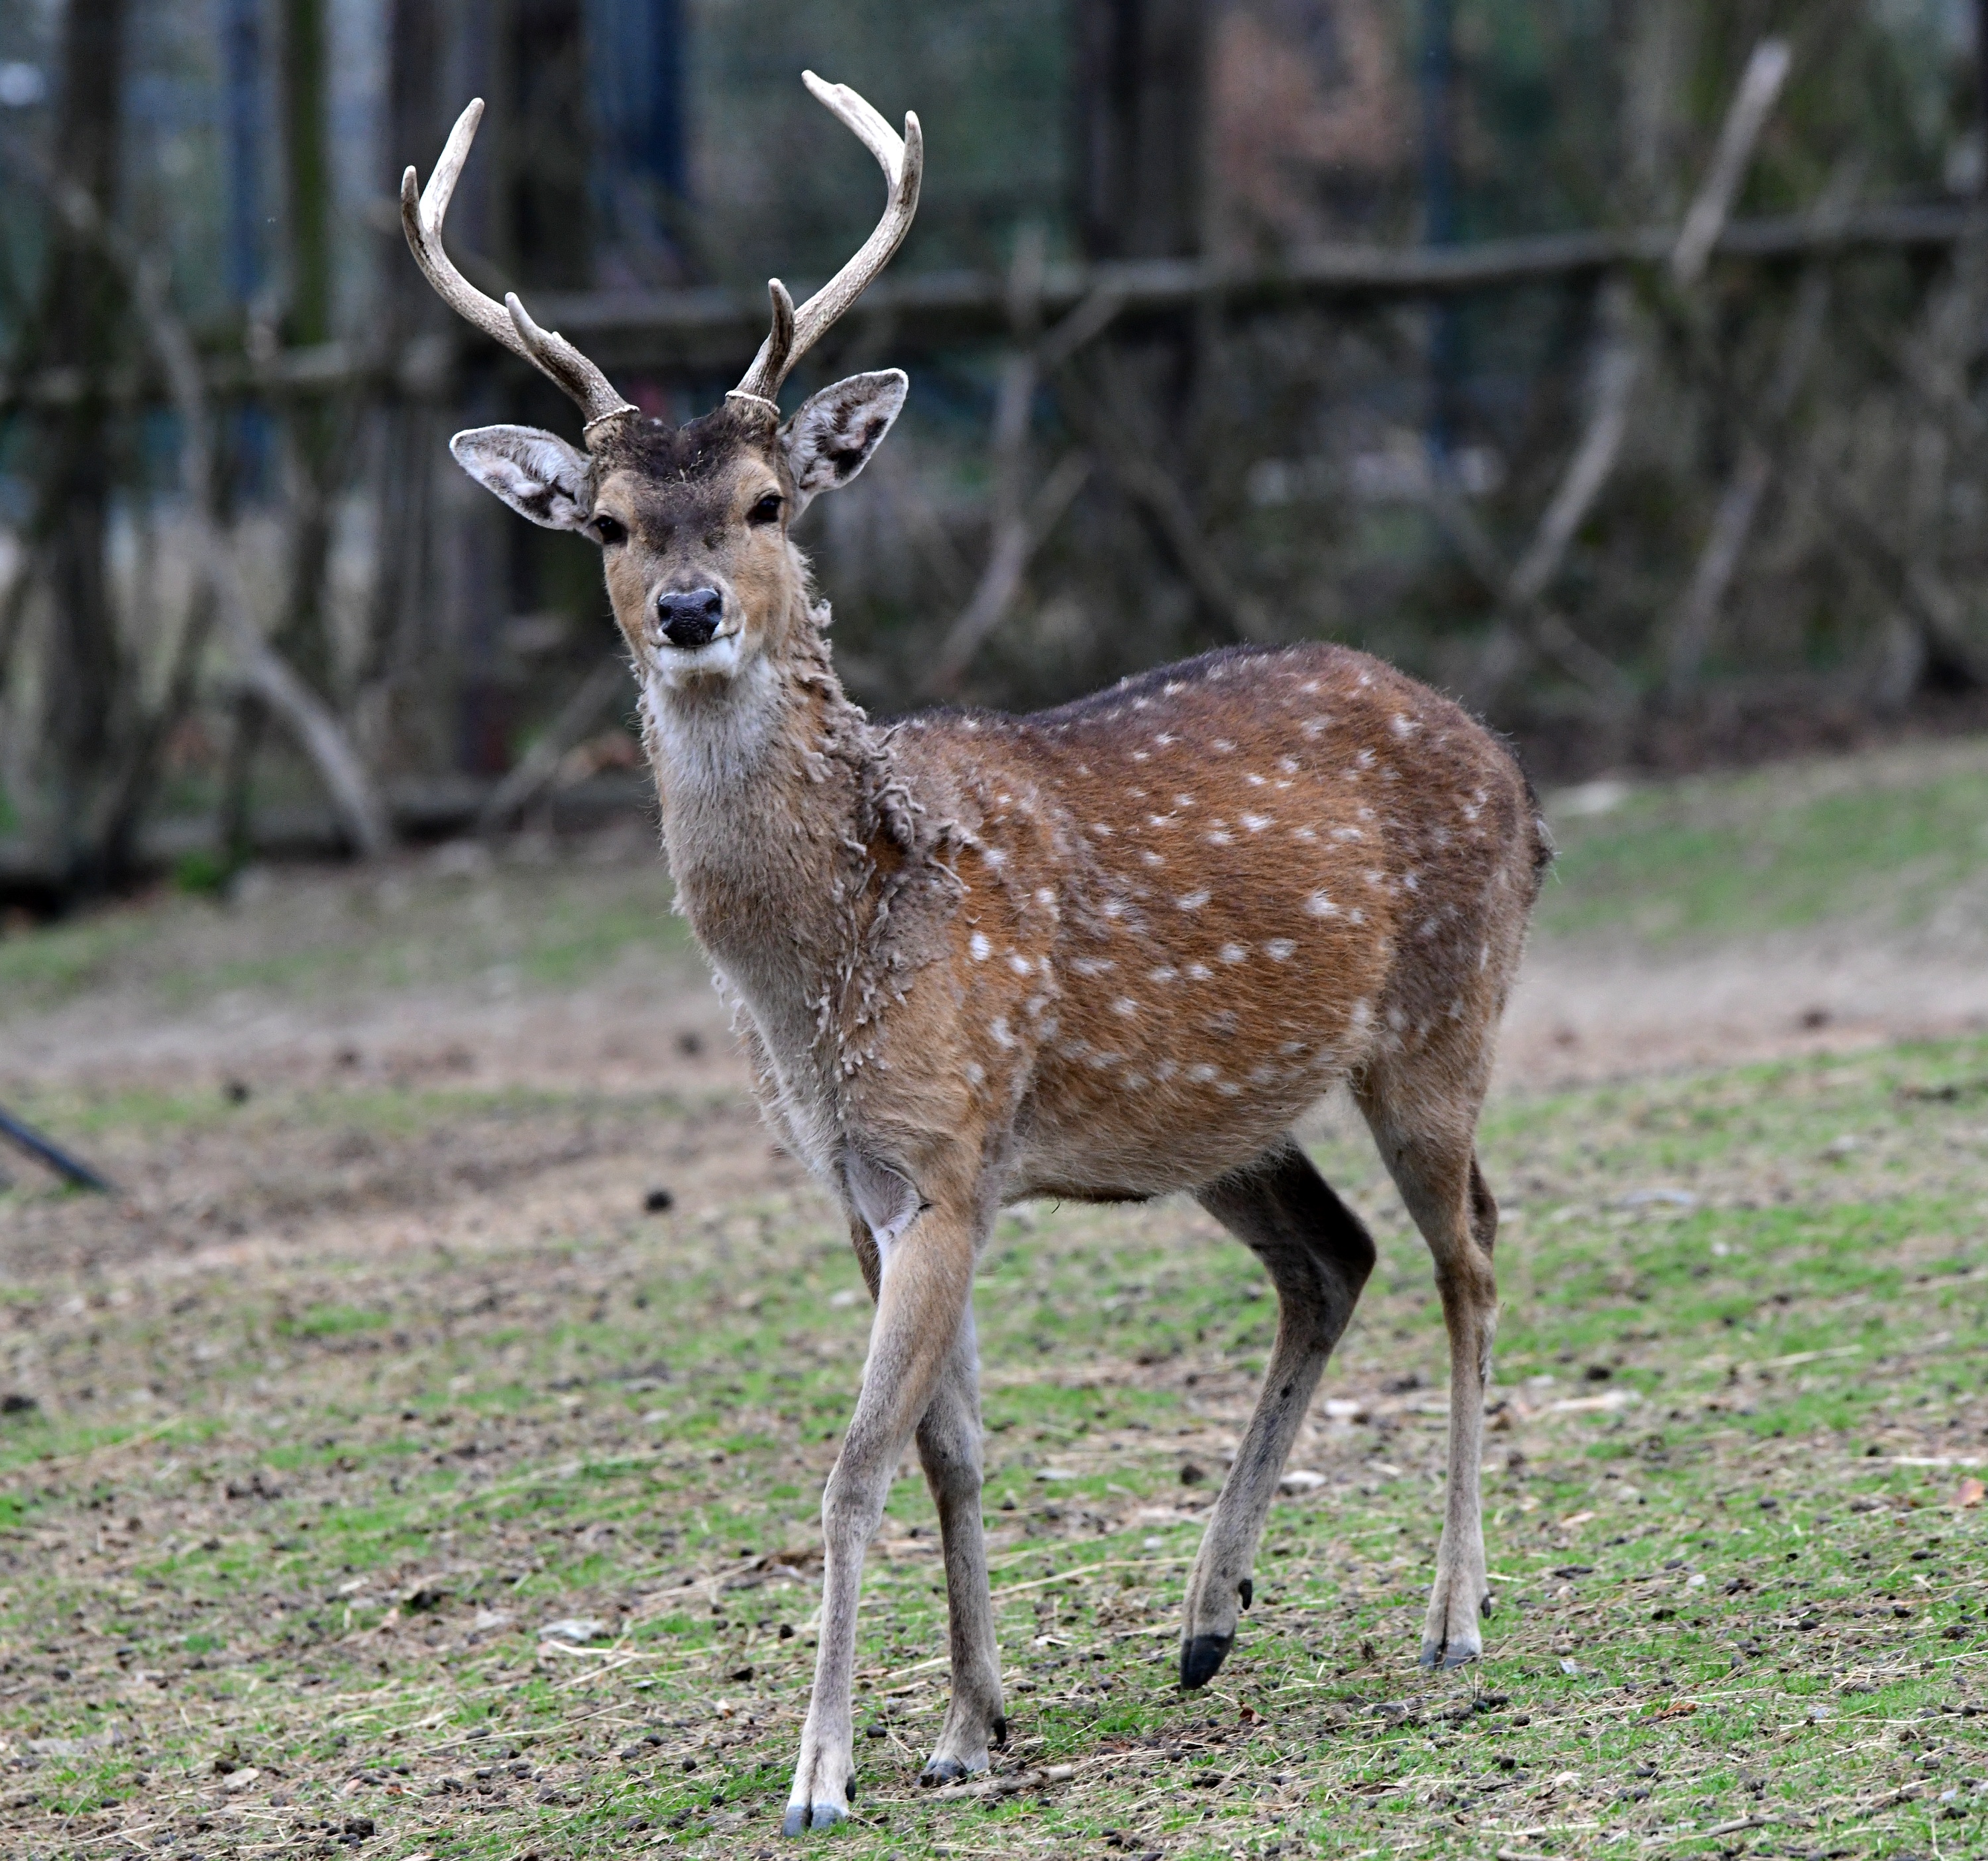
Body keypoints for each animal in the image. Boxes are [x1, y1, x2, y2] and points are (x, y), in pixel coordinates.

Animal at [404, 74, 1550, 1836]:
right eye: (603, 521)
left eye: (768, 504)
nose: (687, 609)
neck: (819, 974)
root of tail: (1514, 770)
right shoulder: (858, 1183)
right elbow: (948, 1448)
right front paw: (964, 1725)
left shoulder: (948, 1154)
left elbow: (854, 1461)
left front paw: (822, 1772)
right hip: (1216, 1116)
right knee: (1330, 1255)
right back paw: (1207, 1621)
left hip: (1438, 1018)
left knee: (1469, 1248)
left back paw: (1453, 1614)